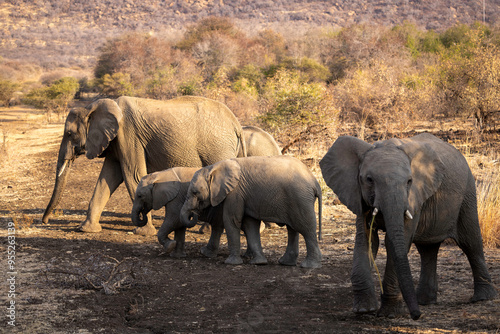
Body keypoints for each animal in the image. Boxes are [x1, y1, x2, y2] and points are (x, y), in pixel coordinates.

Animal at [43, 95, 246, 236]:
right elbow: (106, 179)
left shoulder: (128, 136)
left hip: (217, 148)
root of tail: (236, 124)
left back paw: (206, 229)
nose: (45, 221)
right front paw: (86, 230)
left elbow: (132, 176)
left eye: (69, 134)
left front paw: (143, 232)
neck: (93, 107)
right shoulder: (116, 142)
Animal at [182, 156, 322, 268]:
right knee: (292, 229)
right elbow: (250, 225)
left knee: (306, 228)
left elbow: (232, 221)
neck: (213, 167)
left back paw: (309, 266)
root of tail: (315, 181)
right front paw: (259, 263)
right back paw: (286, 263)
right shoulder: (244, 196)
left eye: (195, 192)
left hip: (300, 199)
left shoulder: (235, 193)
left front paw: (231, 263)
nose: (194, 213)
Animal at [320, 133, 496, 320]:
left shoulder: (414, 197)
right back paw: (424, 301)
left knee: (470, 243)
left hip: (467, 194)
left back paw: (482, 298)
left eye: (409, 181)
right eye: (369, 179)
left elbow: (395, 242)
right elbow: (366, 240)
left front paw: (390, 314)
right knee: (427, 249)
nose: (416, 315)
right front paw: (364, 310)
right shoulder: (358, 195)